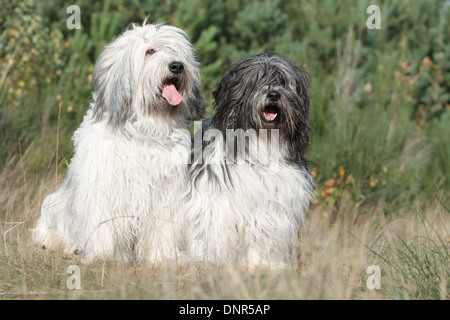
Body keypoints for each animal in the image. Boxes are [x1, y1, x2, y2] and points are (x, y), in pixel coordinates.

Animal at [32, 21, 205, 262]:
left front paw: (161, 257)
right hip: (54, 205)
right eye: (150, 51)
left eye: (176, 51)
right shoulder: (105, 187)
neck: (145, 129)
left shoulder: (165, 192)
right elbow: (103, 226)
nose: (177, 66)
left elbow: (161, 229)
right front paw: (104, 257)